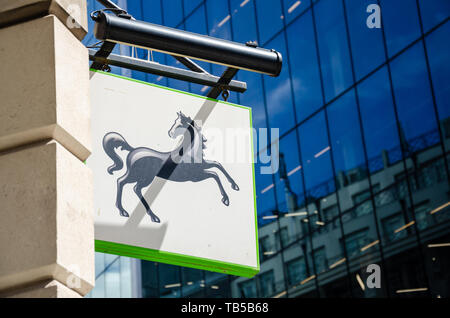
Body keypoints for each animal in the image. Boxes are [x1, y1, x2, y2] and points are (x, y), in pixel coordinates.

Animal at [104, 112, 241, 224]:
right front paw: (226, 199)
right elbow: (215, 174)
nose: (170, 133)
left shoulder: (203, 166)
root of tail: (133, 150)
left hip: (138, 176)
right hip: (141, 177)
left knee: (125, 183)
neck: (189, 152)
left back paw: (127, 211)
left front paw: (235, 186)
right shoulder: (196, 176)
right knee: (128, 185)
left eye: (179, 124)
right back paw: (147, 216)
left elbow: (218, 165)